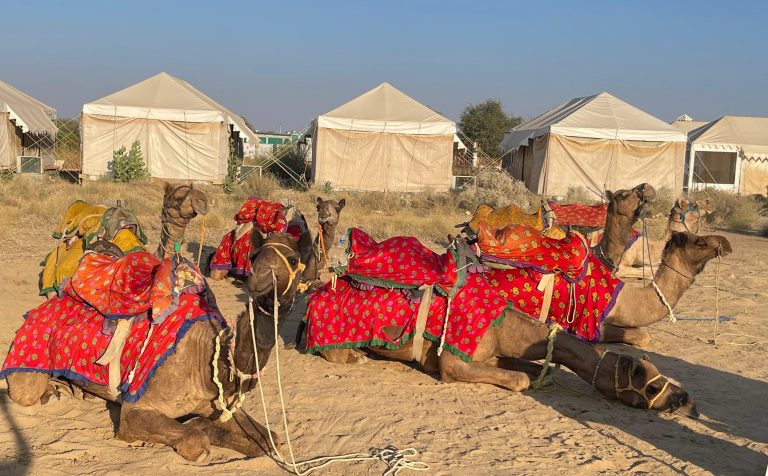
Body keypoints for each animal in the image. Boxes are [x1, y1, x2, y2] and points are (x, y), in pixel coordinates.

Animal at [5, 231, 312, 462]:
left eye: (293, 258)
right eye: (253, 256)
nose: (258, 279)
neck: (209, 362)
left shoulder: (219, 403)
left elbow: (269, 439)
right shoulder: (135, 411)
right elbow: (197, 439)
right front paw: (198, 429)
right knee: (25, 391)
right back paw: (51, 393)